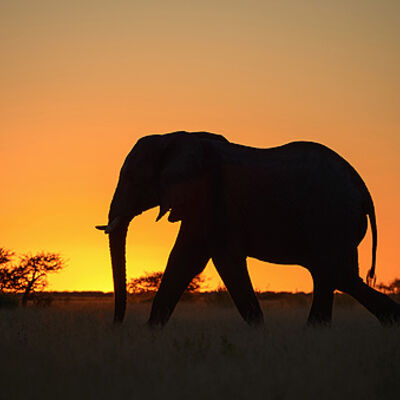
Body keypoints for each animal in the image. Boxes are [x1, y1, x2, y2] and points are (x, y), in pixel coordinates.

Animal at [96, 133, 400, 326]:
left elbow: (214, 259)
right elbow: (186, 261)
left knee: (337, 275)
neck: (175, 137)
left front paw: (259, 332)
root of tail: (364, 192)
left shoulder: (211, 199)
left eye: (131, 178)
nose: (116, 325)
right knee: (329, 277)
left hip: (333, 220)